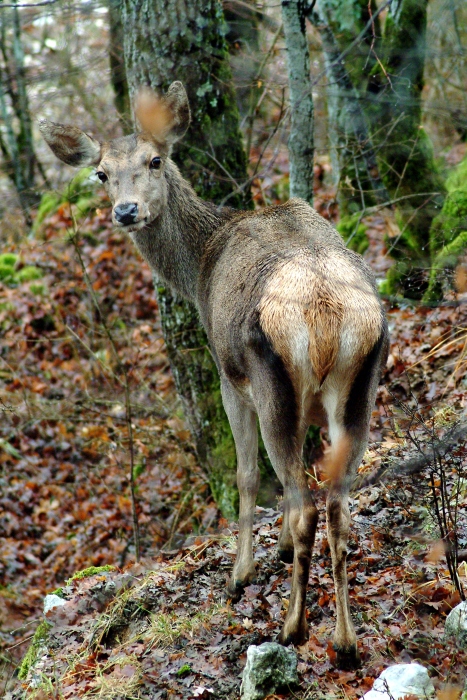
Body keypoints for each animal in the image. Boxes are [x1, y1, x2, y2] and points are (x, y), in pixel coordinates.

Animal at [42, 79, 390, 668]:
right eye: (101, 173)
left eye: (155, 159)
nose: (127, 210)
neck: (200, 263)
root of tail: (327, 314)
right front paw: (275, 551)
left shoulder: (230, 377)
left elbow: (248, 476)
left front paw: (241, 571)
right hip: (362, 383)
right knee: (338, 505)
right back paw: (345, 642)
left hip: (272, 384)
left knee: (303, 503)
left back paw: (292, 628)